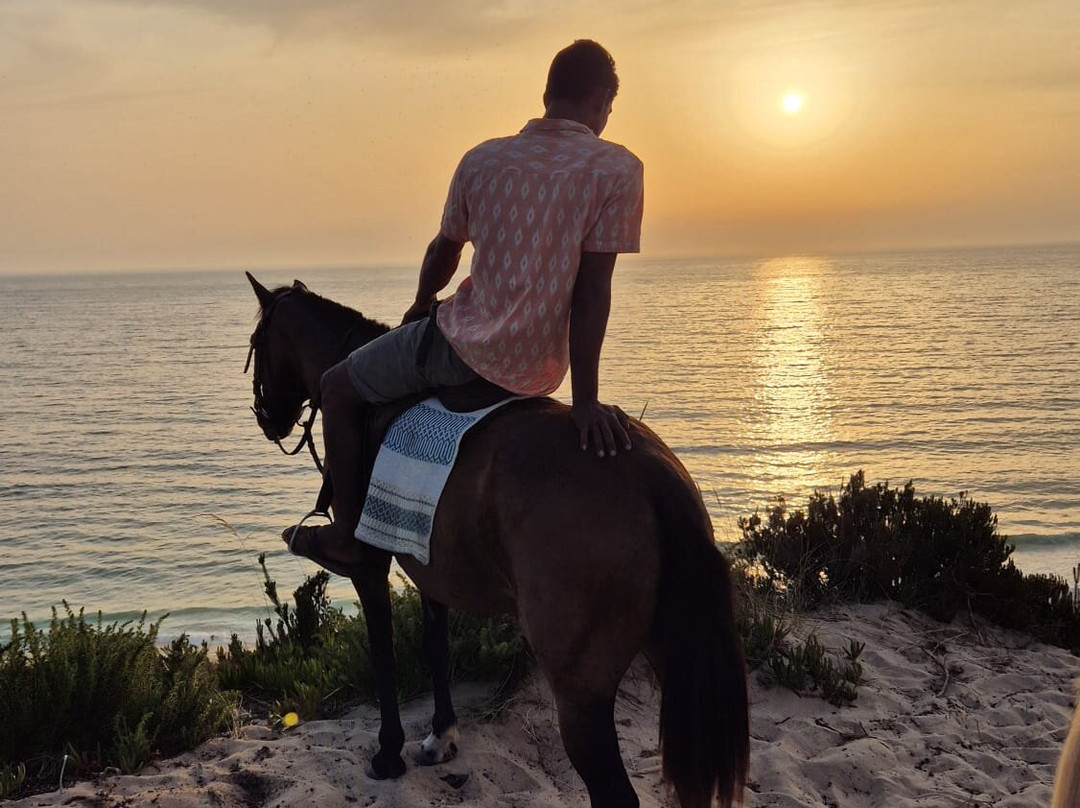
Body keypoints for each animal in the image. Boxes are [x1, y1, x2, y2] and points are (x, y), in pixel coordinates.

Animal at [244, 273, 750, 808]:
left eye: (256, 343)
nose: (265, 417)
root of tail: (653, 476)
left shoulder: (369, 567)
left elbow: (384, 653)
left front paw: (388, 753)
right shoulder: (432, 569)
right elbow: (436, 645)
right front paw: (441, 736)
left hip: (582, 694)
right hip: (677, 659)